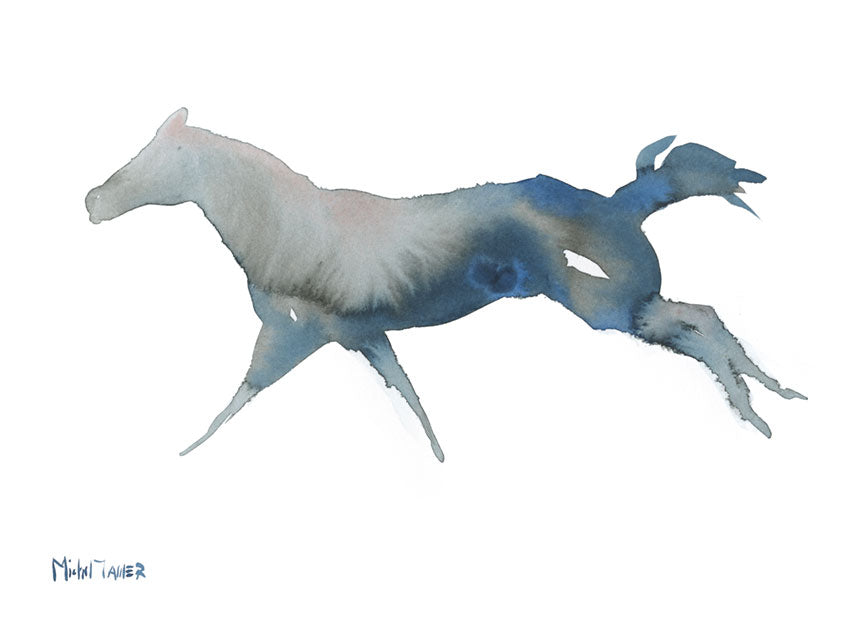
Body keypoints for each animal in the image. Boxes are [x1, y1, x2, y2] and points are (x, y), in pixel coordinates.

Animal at [85, 108, 805, 461]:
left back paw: (757, 408)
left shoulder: (297, 334)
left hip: (608, 305)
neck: (290, 231)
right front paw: (437, 459)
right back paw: (771, 400)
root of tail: (621, 206)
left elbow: (242, 395)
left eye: (167, 156)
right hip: (623, 303)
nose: (93, 202)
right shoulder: (361, 336)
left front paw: (186, 452)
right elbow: (408, 394)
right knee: (703, 317)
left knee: (698, 321)